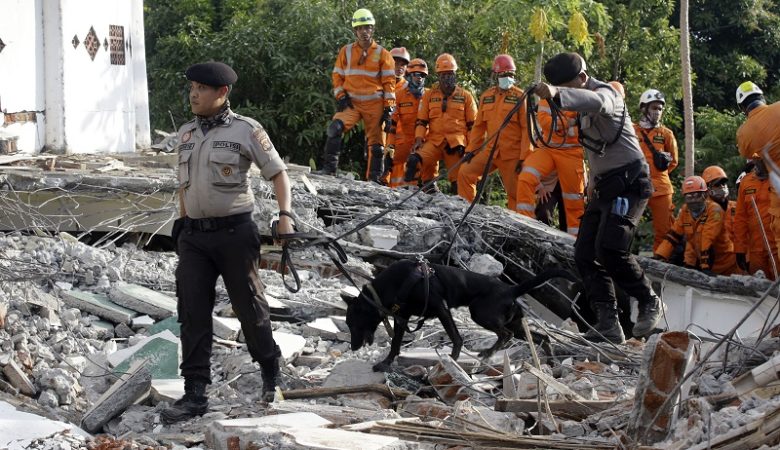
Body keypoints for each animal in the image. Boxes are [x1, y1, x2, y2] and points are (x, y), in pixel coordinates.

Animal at [344, 258, 576, 370]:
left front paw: (453, 361)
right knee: (542, 337)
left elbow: (456, 338)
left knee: (505, 335)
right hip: (516, 324)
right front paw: (386, 363)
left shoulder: (441, 309)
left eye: (353, 324)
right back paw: (550, 362)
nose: (353, 347)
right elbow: (395, 344)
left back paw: (488, 353)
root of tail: (511, 289)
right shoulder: (402, 319)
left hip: (481, 314)